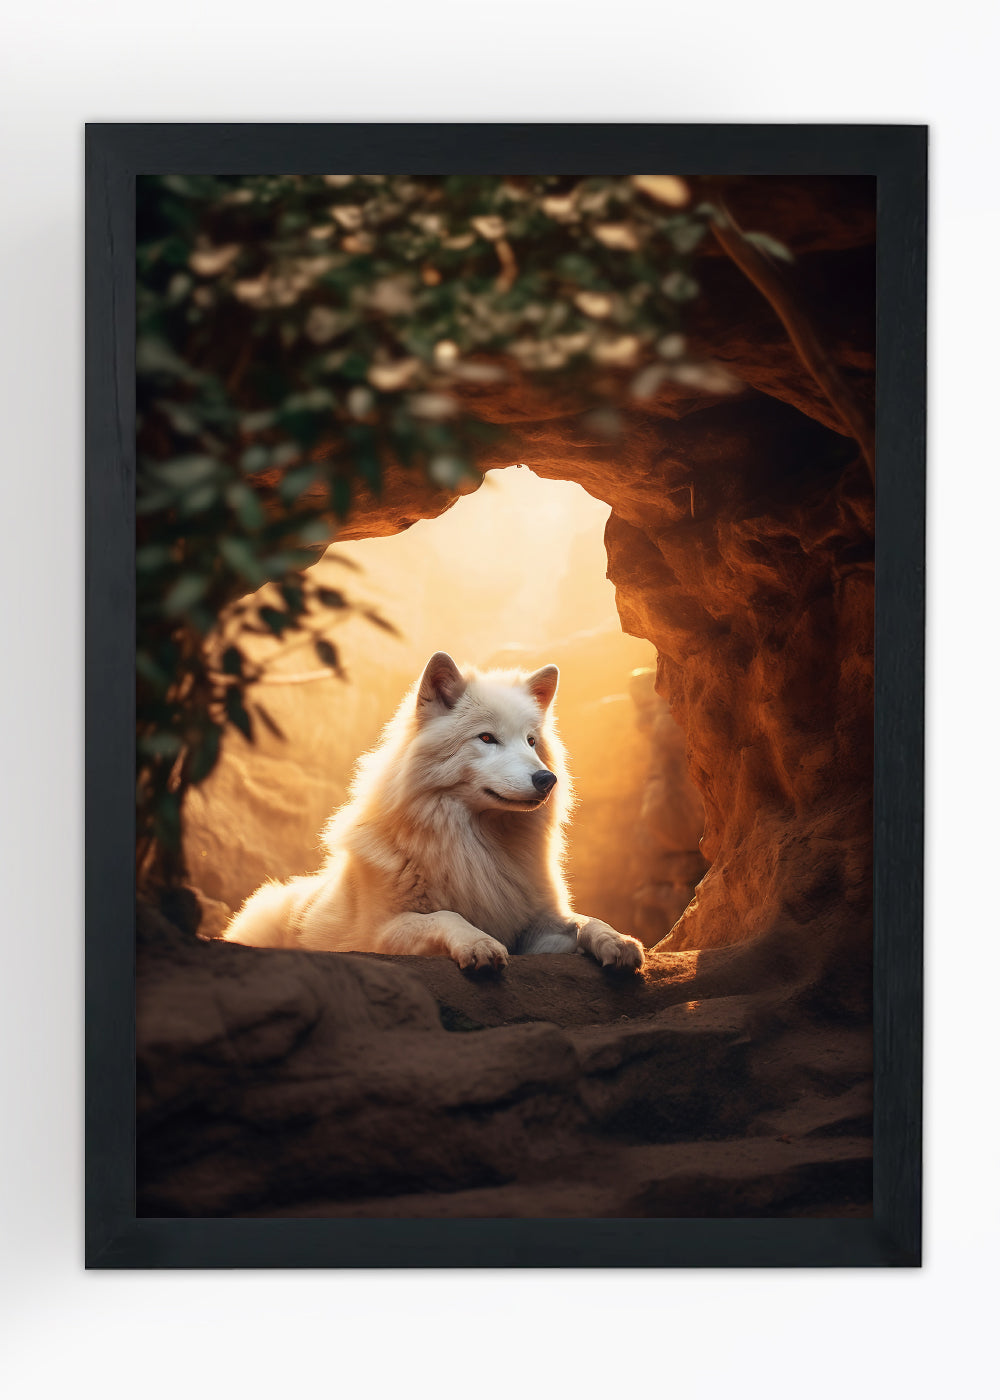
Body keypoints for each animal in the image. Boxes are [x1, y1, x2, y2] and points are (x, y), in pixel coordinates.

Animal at [224, 651, 645, 972]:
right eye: (487, 738)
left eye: (530, 741)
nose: (547, 779)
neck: (477, 848)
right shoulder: (379, 934)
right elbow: (446, 916)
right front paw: (479, 944)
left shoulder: (536, 926)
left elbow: (584, 920)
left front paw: (618, 939)